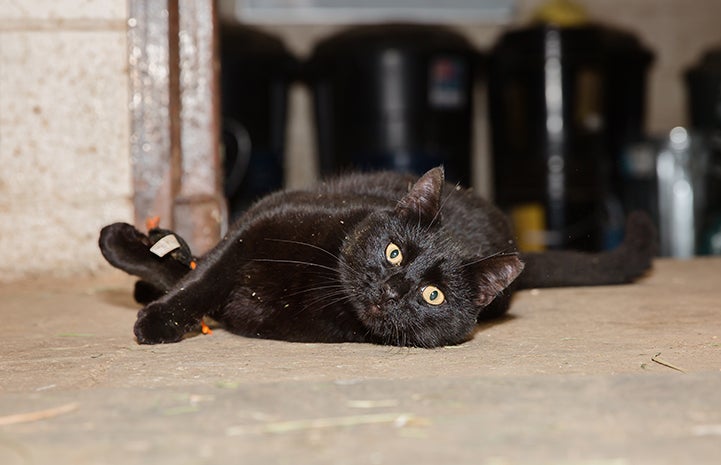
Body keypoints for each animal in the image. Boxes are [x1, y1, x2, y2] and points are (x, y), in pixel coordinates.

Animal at [98, 166, 656, 344]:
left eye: (432, 295)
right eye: (393, 253)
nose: (391, 289)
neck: (323, 281)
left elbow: (206, 281)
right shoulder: (260, 227)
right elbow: (204, 275)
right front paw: (157, 303)